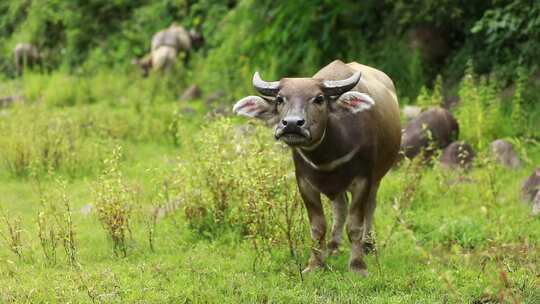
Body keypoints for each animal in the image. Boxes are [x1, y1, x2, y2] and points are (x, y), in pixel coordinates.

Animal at [232, 58, 400, 276]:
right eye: (279, 99)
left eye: (319, 99)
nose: (292, 124)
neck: (328, 155)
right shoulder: (304, 183)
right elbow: (318, 226)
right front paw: (315, 264)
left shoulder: (363, 179)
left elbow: (355, 225)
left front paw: (357, 266)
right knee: (340, 207)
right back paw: (333, 247)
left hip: (377, 177)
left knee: (370, 206)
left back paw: (369, 245)